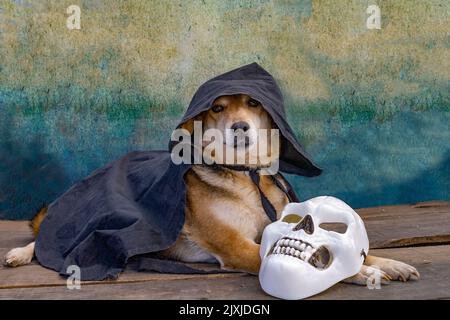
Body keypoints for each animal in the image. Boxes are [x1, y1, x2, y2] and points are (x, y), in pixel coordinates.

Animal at [3, 94, 420, 284]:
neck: (245, 176)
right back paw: (20, 254)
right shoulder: (237, 247)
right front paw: (363, 274)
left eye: (253, 103)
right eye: (217, 108)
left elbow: (349, 252)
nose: (240, 127)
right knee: (47, 238)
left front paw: (389, 264)